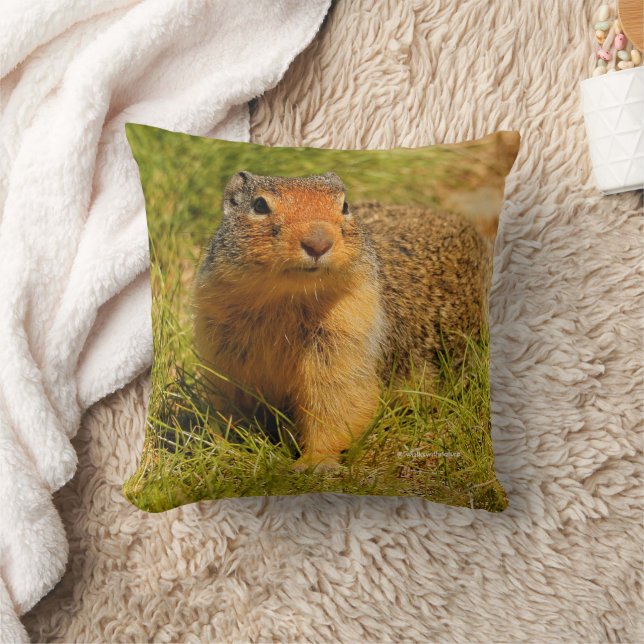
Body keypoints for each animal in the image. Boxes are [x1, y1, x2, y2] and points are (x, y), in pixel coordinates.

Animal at [193, 171, 491, 470]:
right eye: (259, 205)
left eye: (345, 205)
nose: (318, 243)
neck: (285, 298)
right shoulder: (221, 344)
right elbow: (230, 402)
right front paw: (223, 447)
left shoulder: (347, 336)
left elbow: (337, 402)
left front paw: (314, 462)